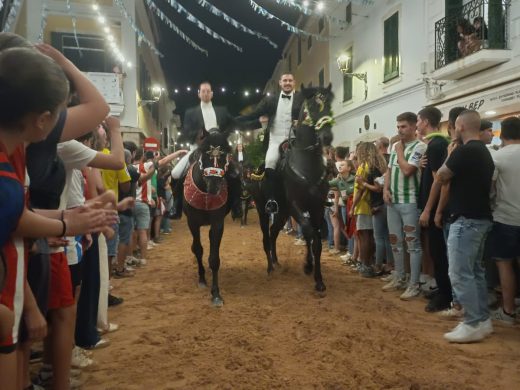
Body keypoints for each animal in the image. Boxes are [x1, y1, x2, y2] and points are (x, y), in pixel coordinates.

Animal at [183, 129, 232, 306]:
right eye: (203, 153)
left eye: (225, 154)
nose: (214, 187)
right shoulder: (192, 222)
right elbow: (197, 249)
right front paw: (202, 279)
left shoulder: (217, 223)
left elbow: (214, 258)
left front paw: (216, 293)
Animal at [247, 85, 334, 292]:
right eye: (312, 107)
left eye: (330, 104)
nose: (327, 136)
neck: (307, 164)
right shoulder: (296, 206)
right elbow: (309, 233)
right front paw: (309, 266)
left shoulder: (316, 208)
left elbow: (316, 239)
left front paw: (317, 278)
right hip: (264, 210)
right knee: (266, 236)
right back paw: (270, 268)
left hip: (282, 212)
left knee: (273, 232)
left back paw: (276, 262)